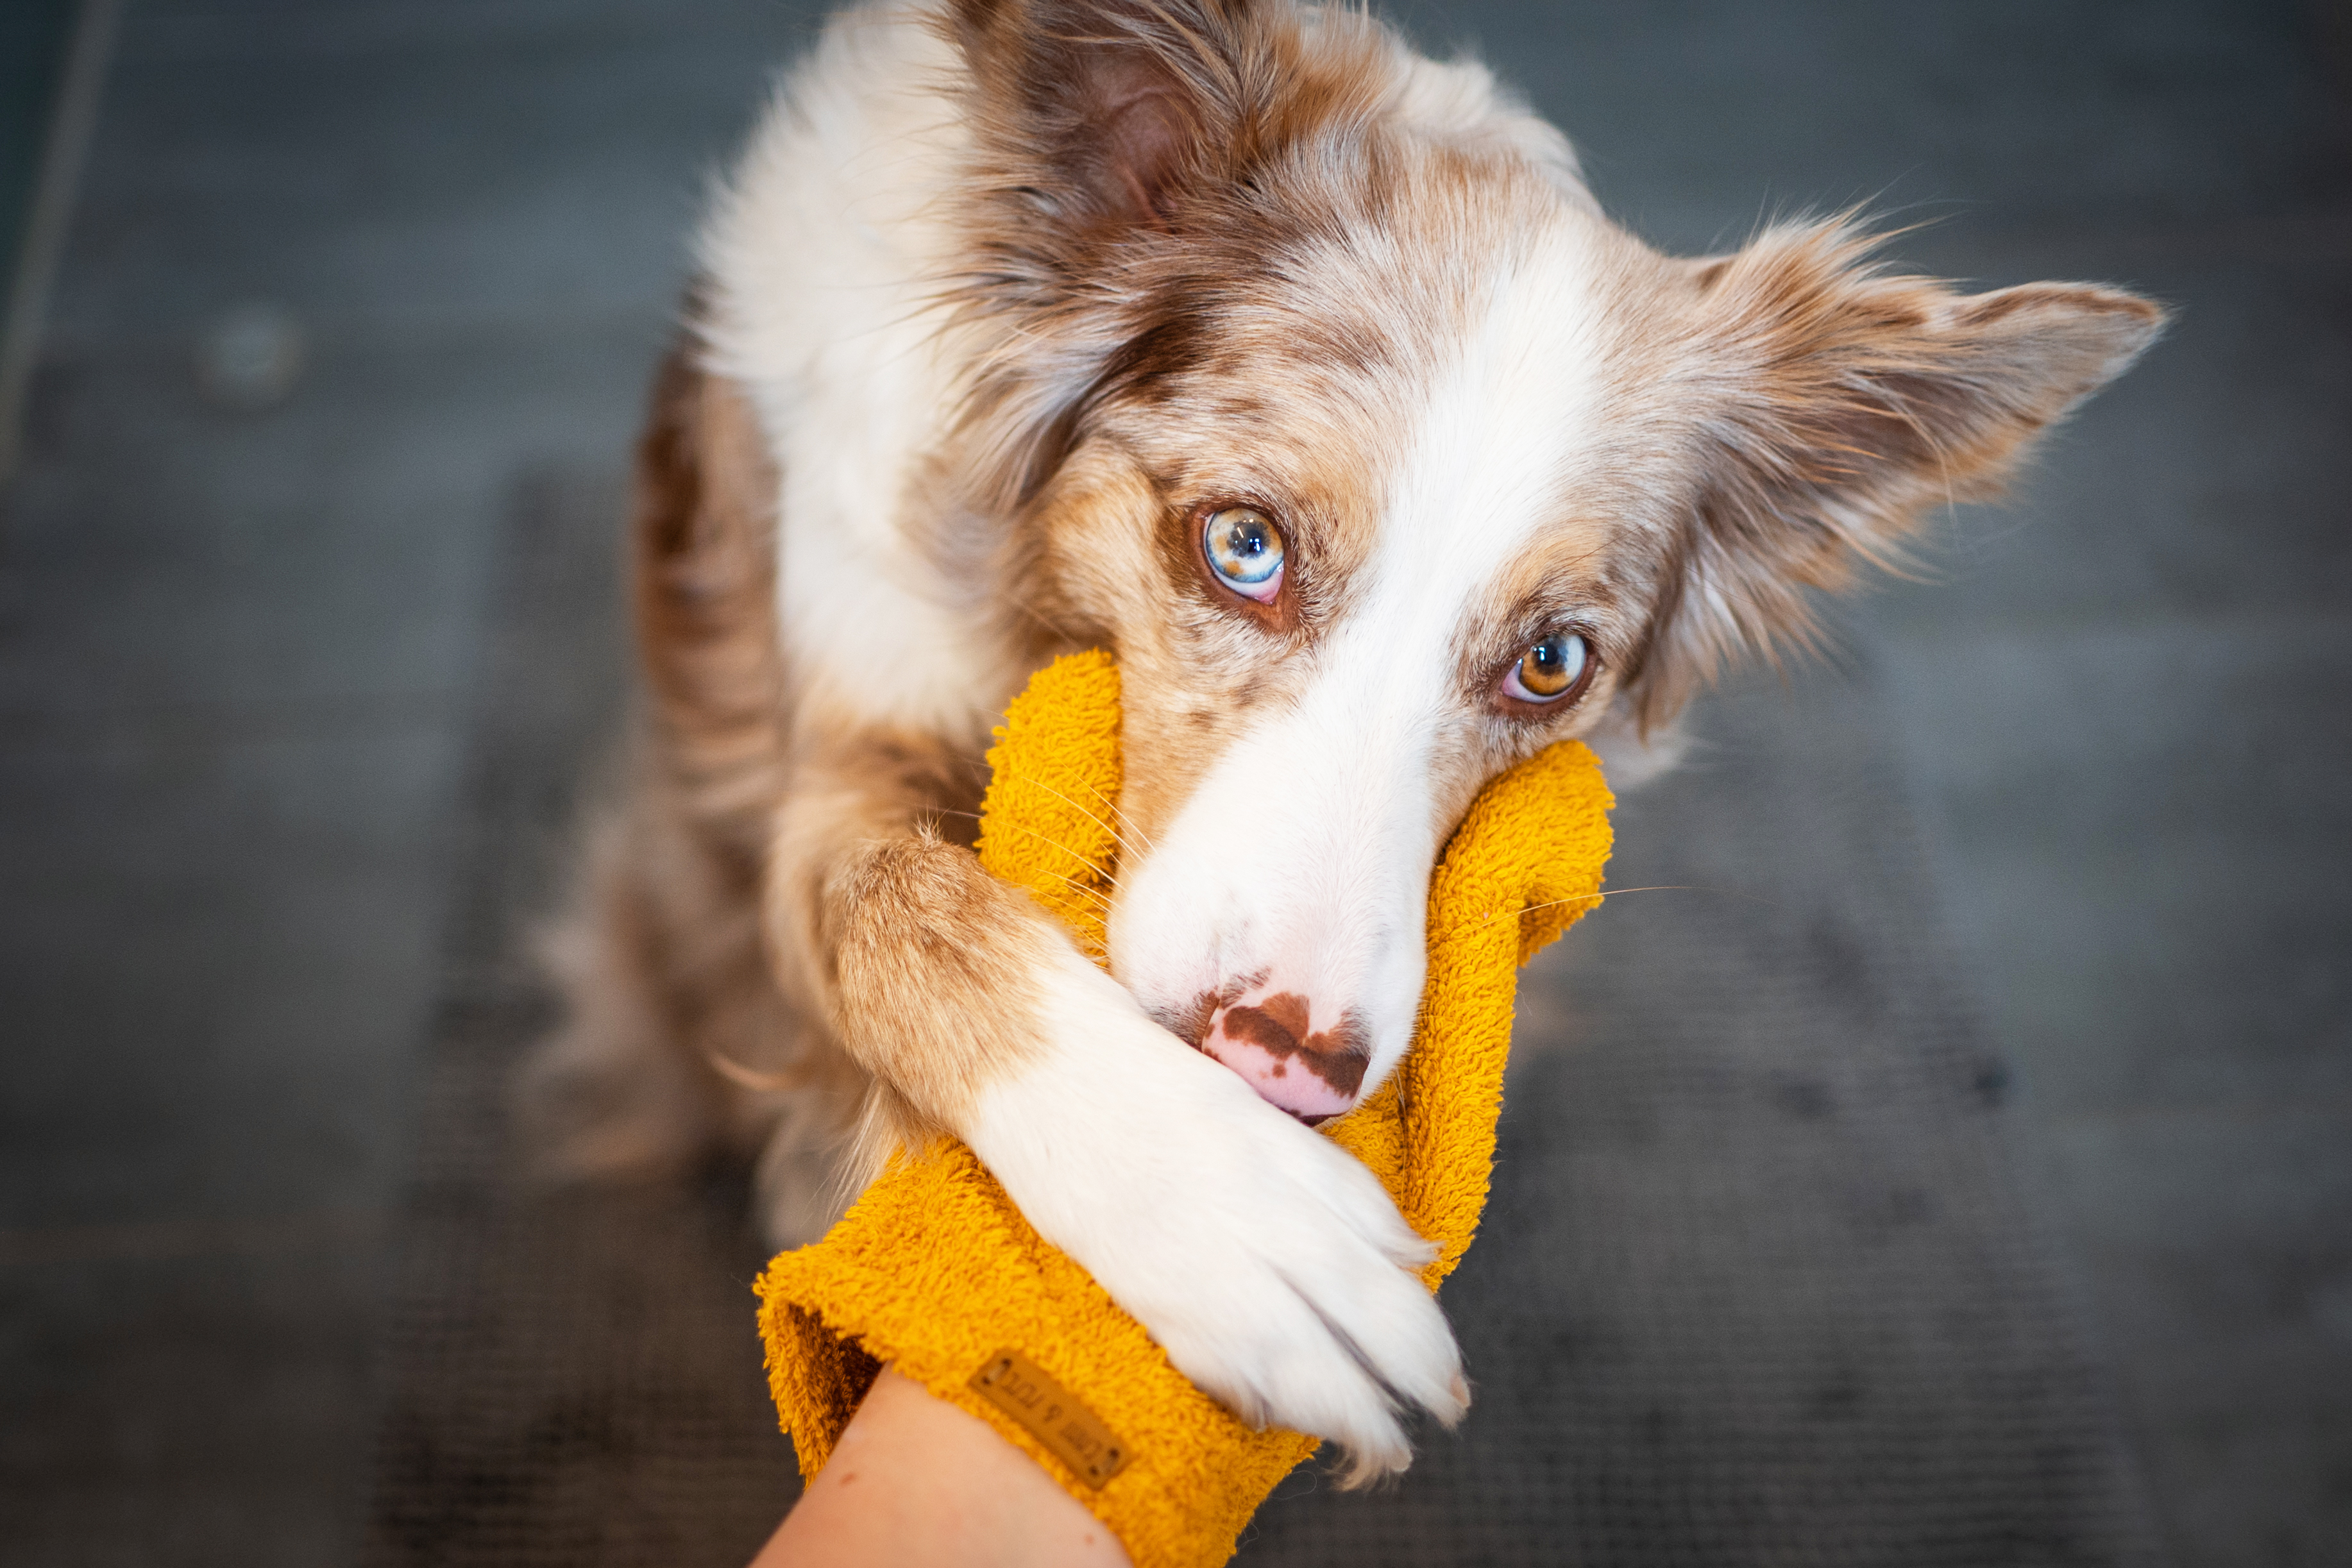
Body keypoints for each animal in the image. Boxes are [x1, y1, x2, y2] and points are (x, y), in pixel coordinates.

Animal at [520, 0, 2163, 1476]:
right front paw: (1229, 1220)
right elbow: (900, 907)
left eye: (1550, 665)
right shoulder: (834, 731)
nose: (1287, 1058)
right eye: (1241, 546)